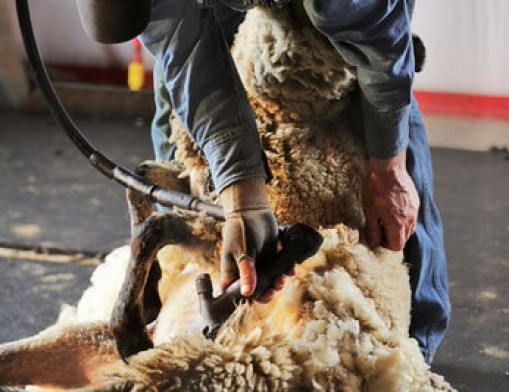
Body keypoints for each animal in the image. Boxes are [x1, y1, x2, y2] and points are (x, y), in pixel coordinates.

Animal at [0, 3, 452, 392]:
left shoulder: (230, 236)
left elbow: (155, 225)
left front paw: (133, 321)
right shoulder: (205, 194)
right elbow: (141, 184)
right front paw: (149, 298)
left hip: (206, 367)